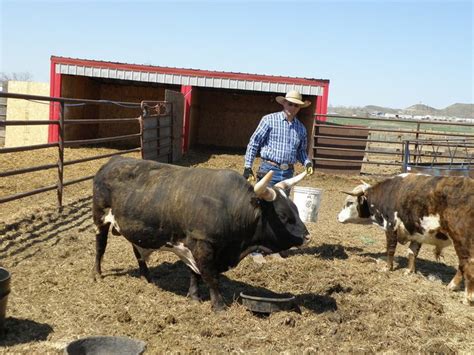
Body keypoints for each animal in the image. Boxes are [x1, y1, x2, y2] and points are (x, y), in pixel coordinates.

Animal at [92, 157, 312, 310]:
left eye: (296, 208)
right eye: (283, 216)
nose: (307, 237)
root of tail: (112, 162)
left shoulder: (193, 246)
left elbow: (195, 273)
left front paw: (194, 296)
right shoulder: (202, 244)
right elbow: (210, 276)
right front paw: (219, 306)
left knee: (138, 251)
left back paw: (147, 278)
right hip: (100, 218)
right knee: (100, 246)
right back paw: (97, 274)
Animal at [336, 174, 474, 304]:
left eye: (349, 203)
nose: (337, 217)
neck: (388, 193)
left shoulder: (391, 226)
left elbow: (390, 249)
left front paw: (387, 268)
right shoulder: (417, 232)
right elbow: (412, 252)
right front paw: (409, 271)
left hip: (462, 240)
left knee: (467, 263)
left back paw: (466, 297)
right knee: (462, 265)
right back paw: (452, 286)